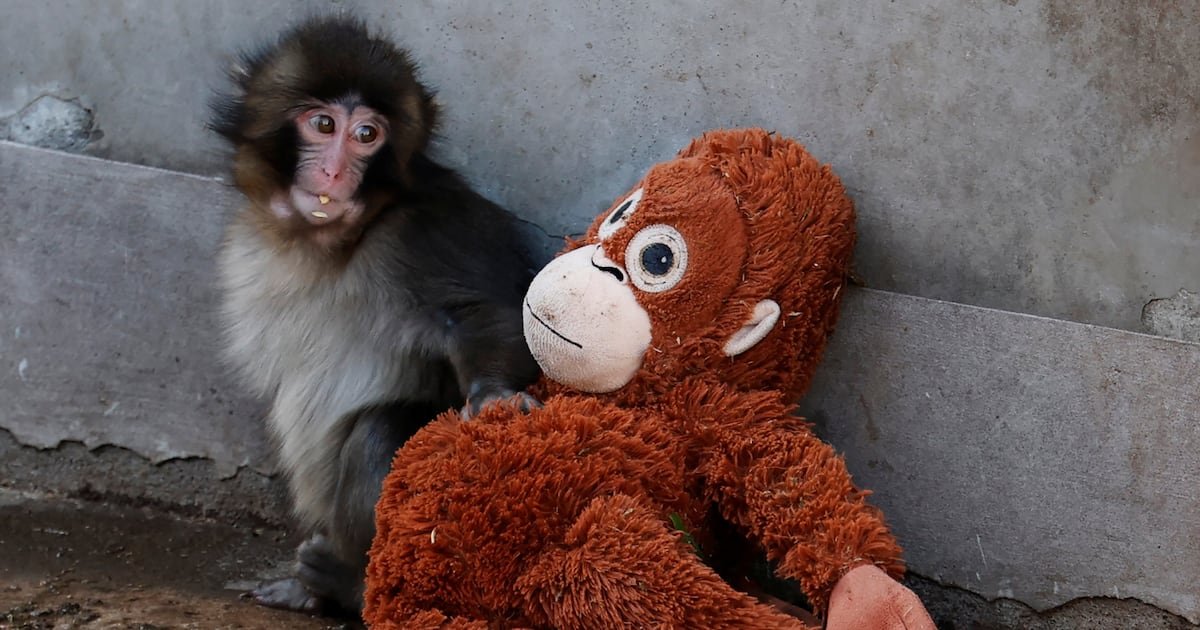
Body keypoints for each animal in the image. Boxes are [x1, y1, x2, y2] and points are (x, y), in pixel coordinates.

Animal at [208, 16, 542, 617]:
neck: (332, 242)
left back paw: (350, 585)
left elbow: (483, 313)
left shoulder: (427, 231)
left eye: (367, 135)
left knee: (378, 432)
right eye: (323, 124)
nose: (335, 170)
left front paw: (495, 396)